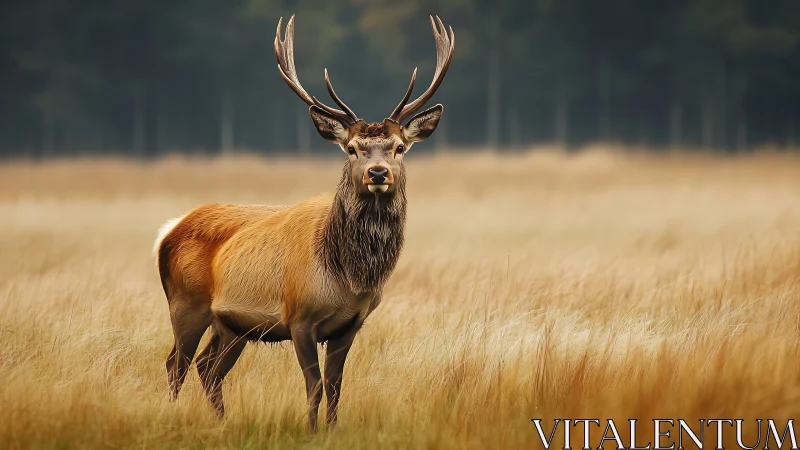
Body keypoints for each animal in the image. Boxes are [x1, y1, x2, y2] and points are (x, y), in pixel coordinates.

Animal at [154, 15, 455, 431]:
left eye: (399, 147)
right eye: (352, 148)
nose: (378, 173)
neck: (346, 277)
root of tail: (169, 230)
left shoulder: (351, 324)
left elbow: (335, 385)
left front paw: (330, 430)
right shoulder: (299, 318)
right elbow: (313, 384)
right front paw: (311, 431)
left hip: (231, 324)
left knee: (207, 367)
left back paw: (222, 422)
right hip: (186, 303)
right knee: (175, 363)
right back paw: (174, 415)